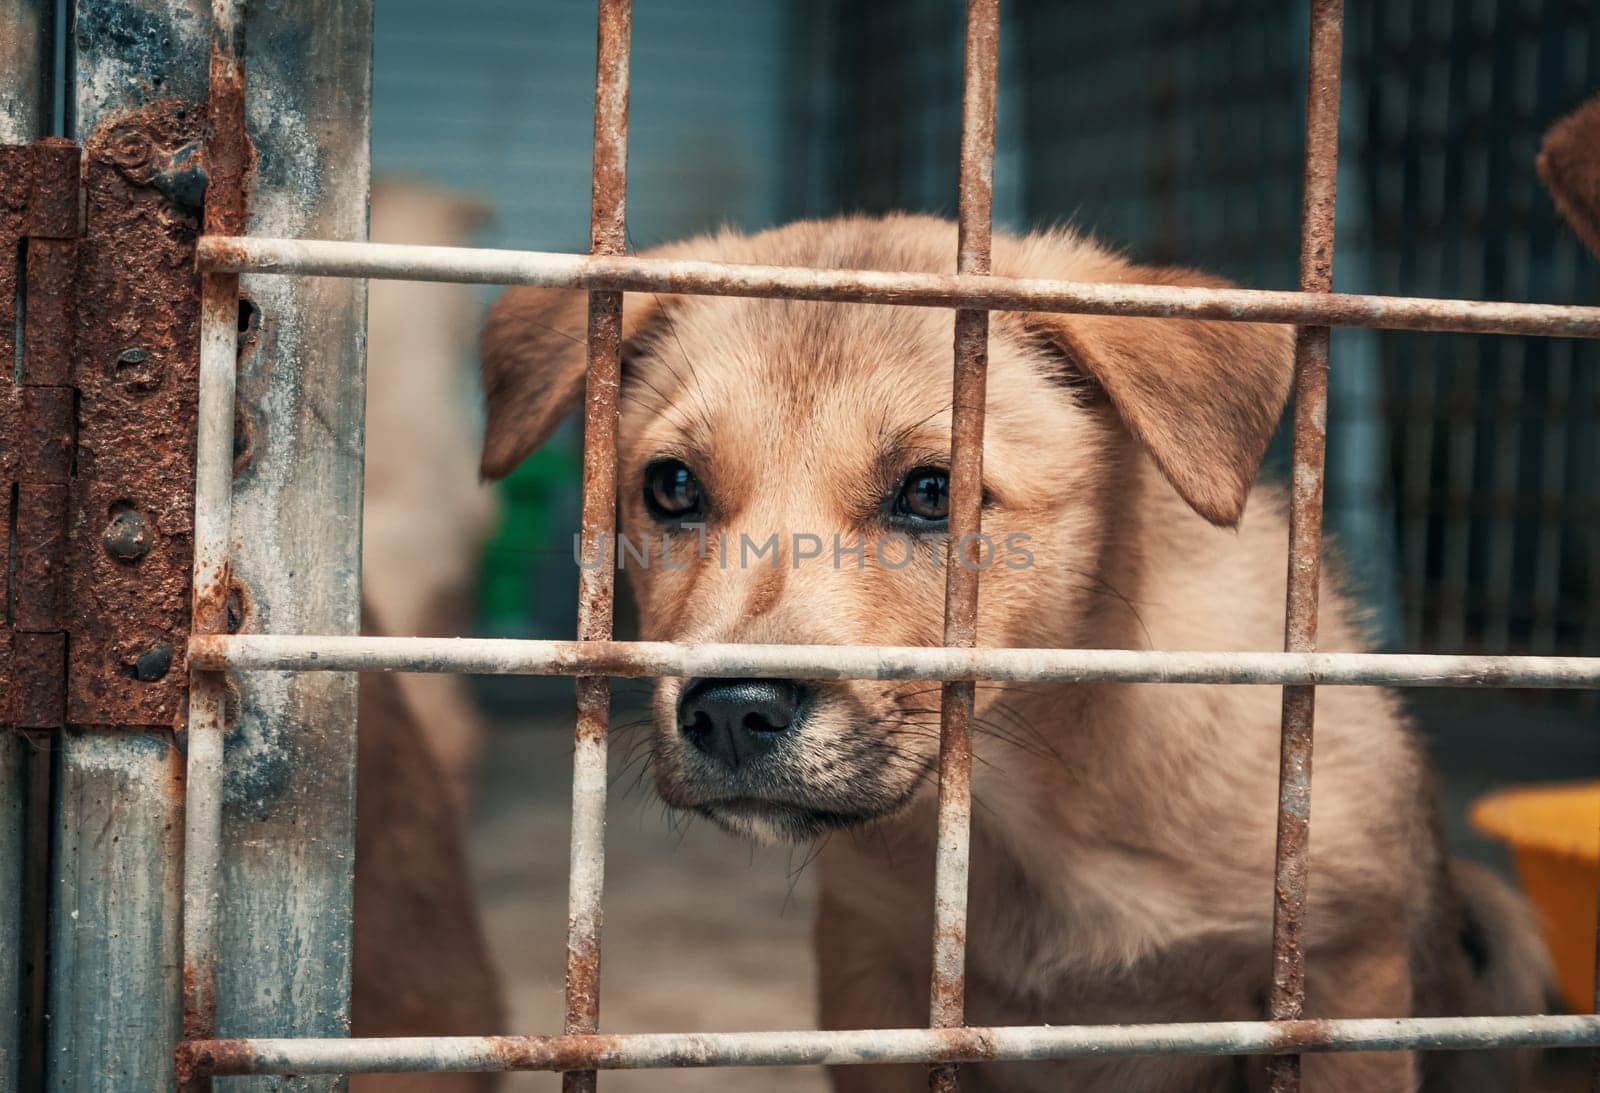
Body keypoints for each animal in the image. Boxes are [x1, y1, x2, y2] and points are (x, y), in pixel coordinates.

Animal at [473, 217, 1548, 1093]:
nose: (733, 710)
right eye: (671, 486)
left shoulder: (1338, 976)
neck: (1027, 815)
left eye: (932, 491)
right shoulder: (871, 979)